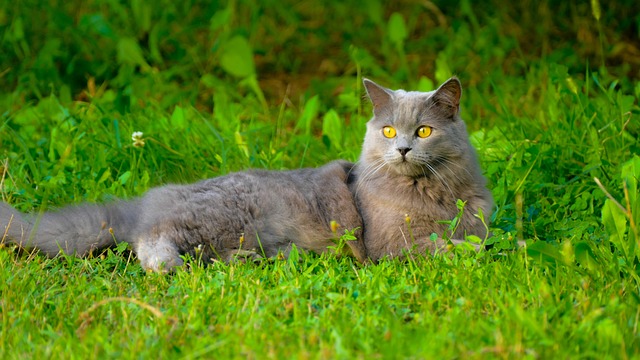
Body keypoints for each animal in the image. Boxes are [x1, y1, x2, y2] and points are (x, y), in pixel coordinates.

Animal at [350, 77, 496, 260]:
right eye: (389, 131)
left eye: (424, 131)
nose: (403, 149)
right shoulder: (393, 244)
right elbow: (450, 245)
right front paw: (487, 251)